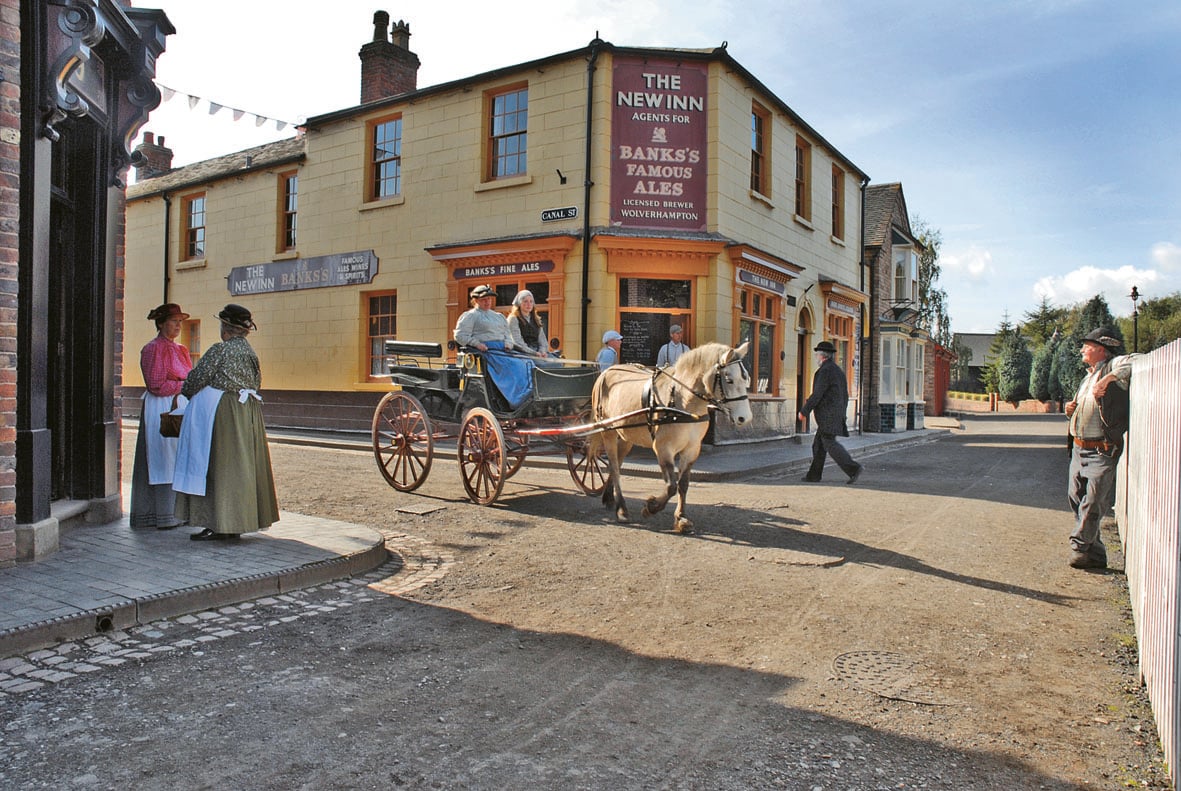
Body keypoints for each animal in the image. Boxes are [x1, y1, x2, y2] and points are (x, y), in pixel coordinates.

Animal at [590, 344, 755, 535]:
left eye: (746, 378)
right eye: (729, 380)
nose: (745, 418)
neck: (682, 401)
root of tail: (606, 371)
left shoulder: (692, 449)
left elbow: (683, 484)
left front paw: (681, 518)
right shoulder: (663, 448)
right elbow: (671, 486)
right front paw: (651, 507)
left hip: (626, 436)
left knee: (616, 462)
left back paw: (609, 497)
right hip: (607, 431)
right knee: (615, 468)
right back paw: (622, 509)